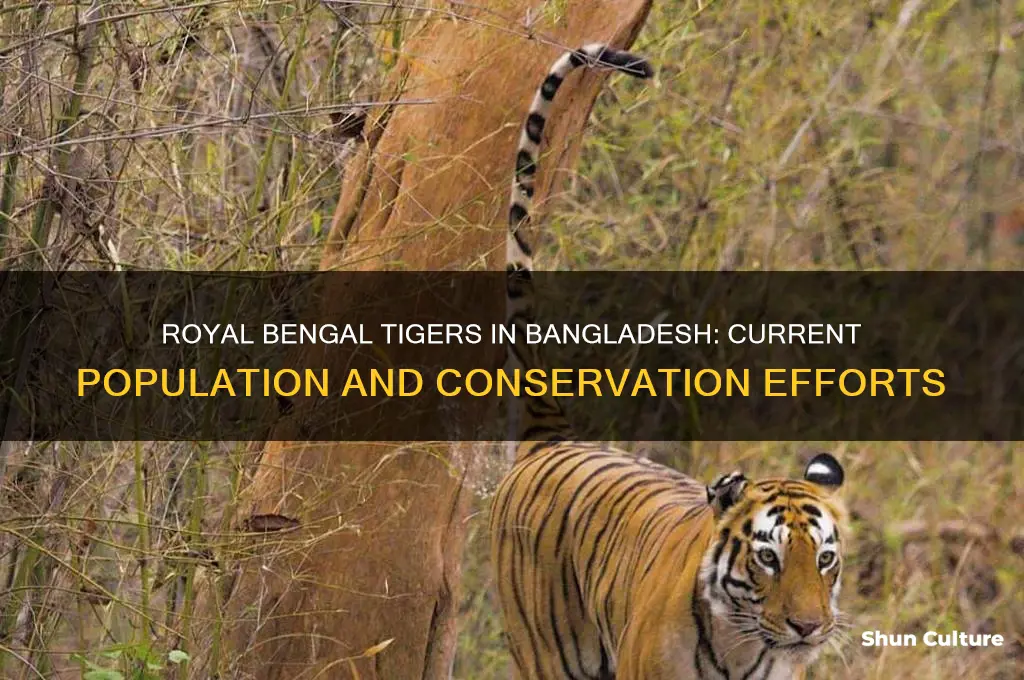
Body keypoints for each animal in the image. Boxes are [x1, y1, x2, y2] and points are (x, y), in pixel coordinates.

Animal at [491, 43, 849, 680]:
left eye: (825, 558)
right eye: (769, 558)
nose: (810, 627)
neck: (746, 650)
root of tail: (552, 442)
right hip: (550, 655)